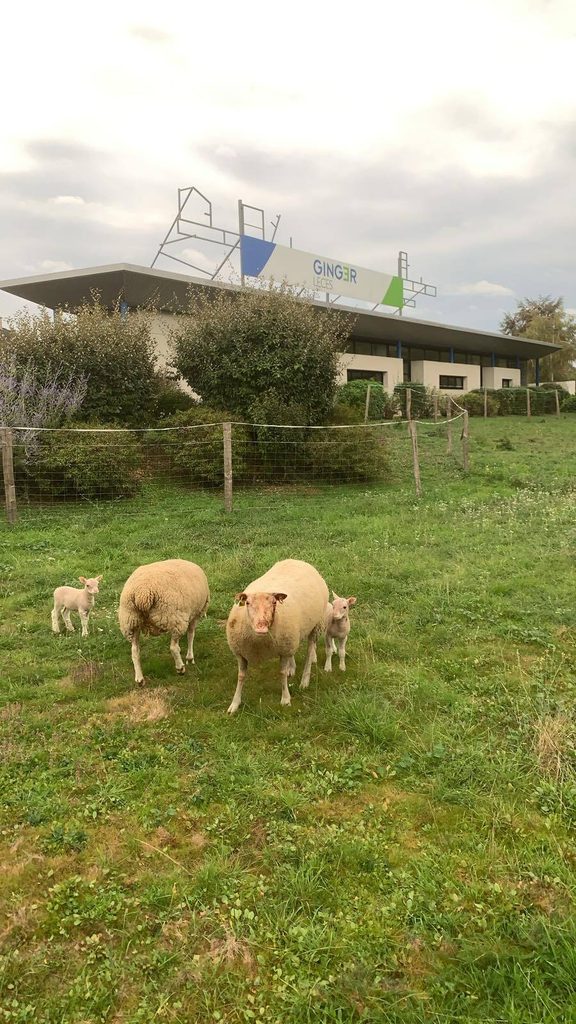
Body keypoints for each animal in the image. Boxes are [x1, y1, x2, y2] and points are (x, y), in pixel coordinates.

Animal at [226, 558, 328, 714]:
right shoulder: (240, 653)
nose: (261, 627)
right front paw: (235, 704)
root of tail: (297, 560)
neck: (260, 643)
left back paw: (304, 681)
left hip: (315, 626)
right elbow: (241, 676)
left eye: (274, 602)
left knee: (310, 651)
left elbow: (281, 673)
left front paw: (285, 699)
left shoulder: (284, 650)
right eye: (247, 603)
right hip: (291, 637)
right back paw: (292, 668)